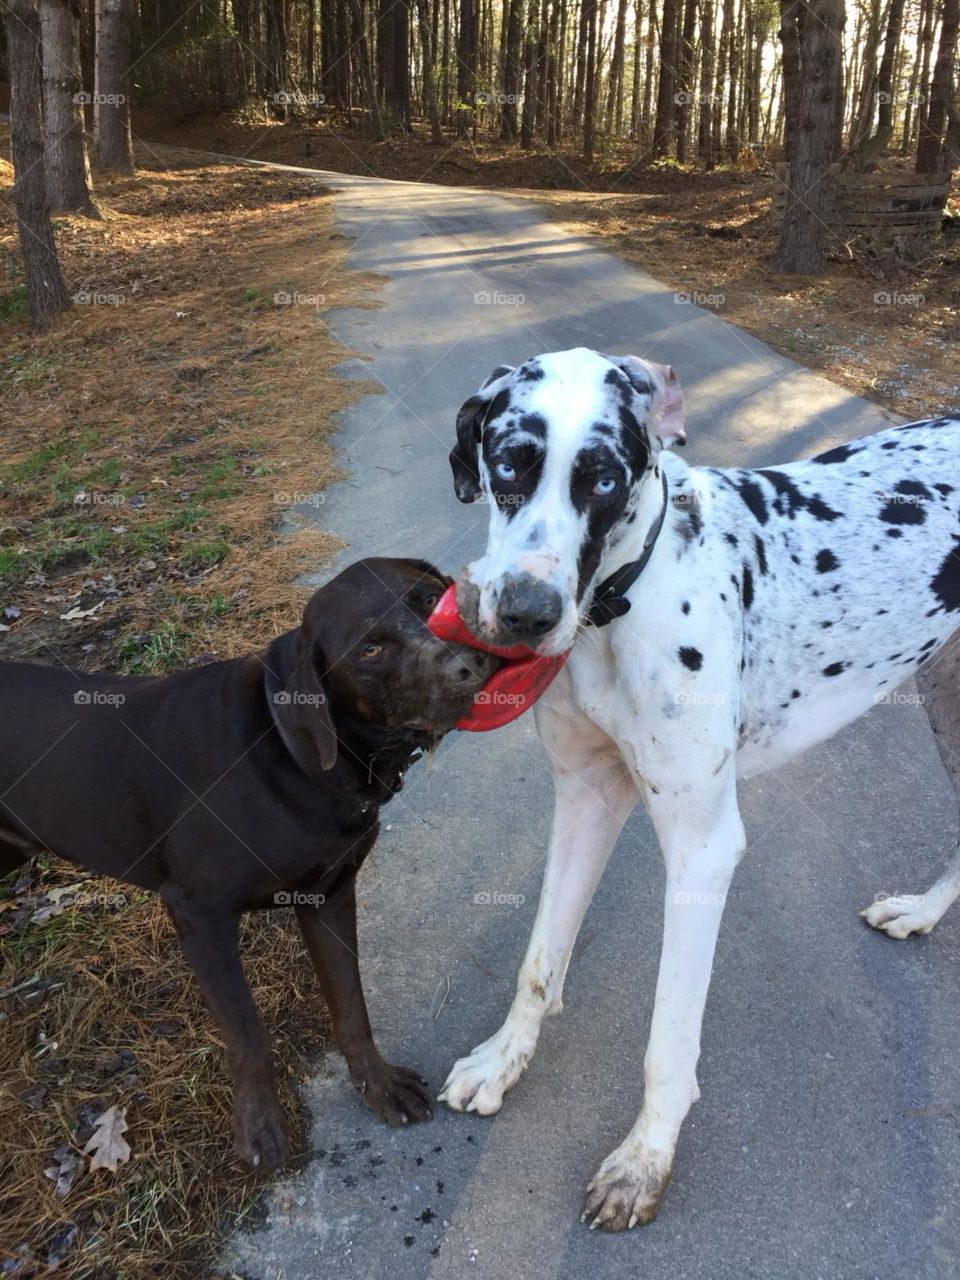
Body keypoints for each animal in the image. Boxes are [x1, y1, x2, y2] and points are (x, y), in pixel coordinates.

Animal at [0, 560, 496, 1172]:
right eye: (370, 648)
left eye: (429, 598)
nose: (470, 666)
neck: (289, 750)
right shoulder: (198, 914)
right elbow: (248, 1033)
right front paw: (260, 1130)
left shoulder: (329, 897)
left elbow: (352, 1008)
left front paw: (377, 1086)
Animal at [440, 343, 960, 1228]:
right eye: (509, 461)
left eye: (604, 480)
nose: (525, 613)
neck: (623, 605)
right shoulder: (586, 797)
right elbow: (540, 960)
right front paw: (503, 1059)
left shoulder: (702, 850)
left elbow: (669, 1036)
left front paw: (644, 1160)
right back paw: (920, 913)